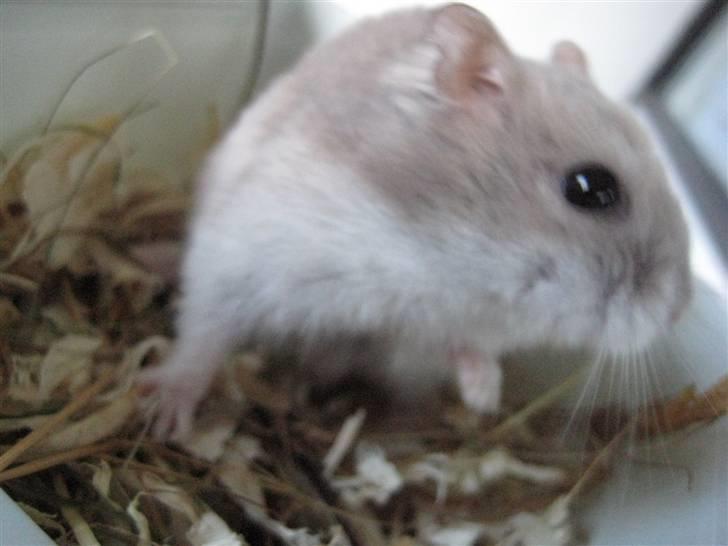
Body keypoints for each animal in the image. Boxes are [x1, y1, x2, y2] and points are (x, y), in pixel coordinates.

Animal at [139, 3, 691, 439]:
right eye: (592, 188)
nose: (677, 313)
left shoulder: (428, 334)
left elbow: (460, 349)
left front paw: (483, 395)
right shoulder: (242, 256)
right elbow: (205, 333)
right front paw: (163, 415)